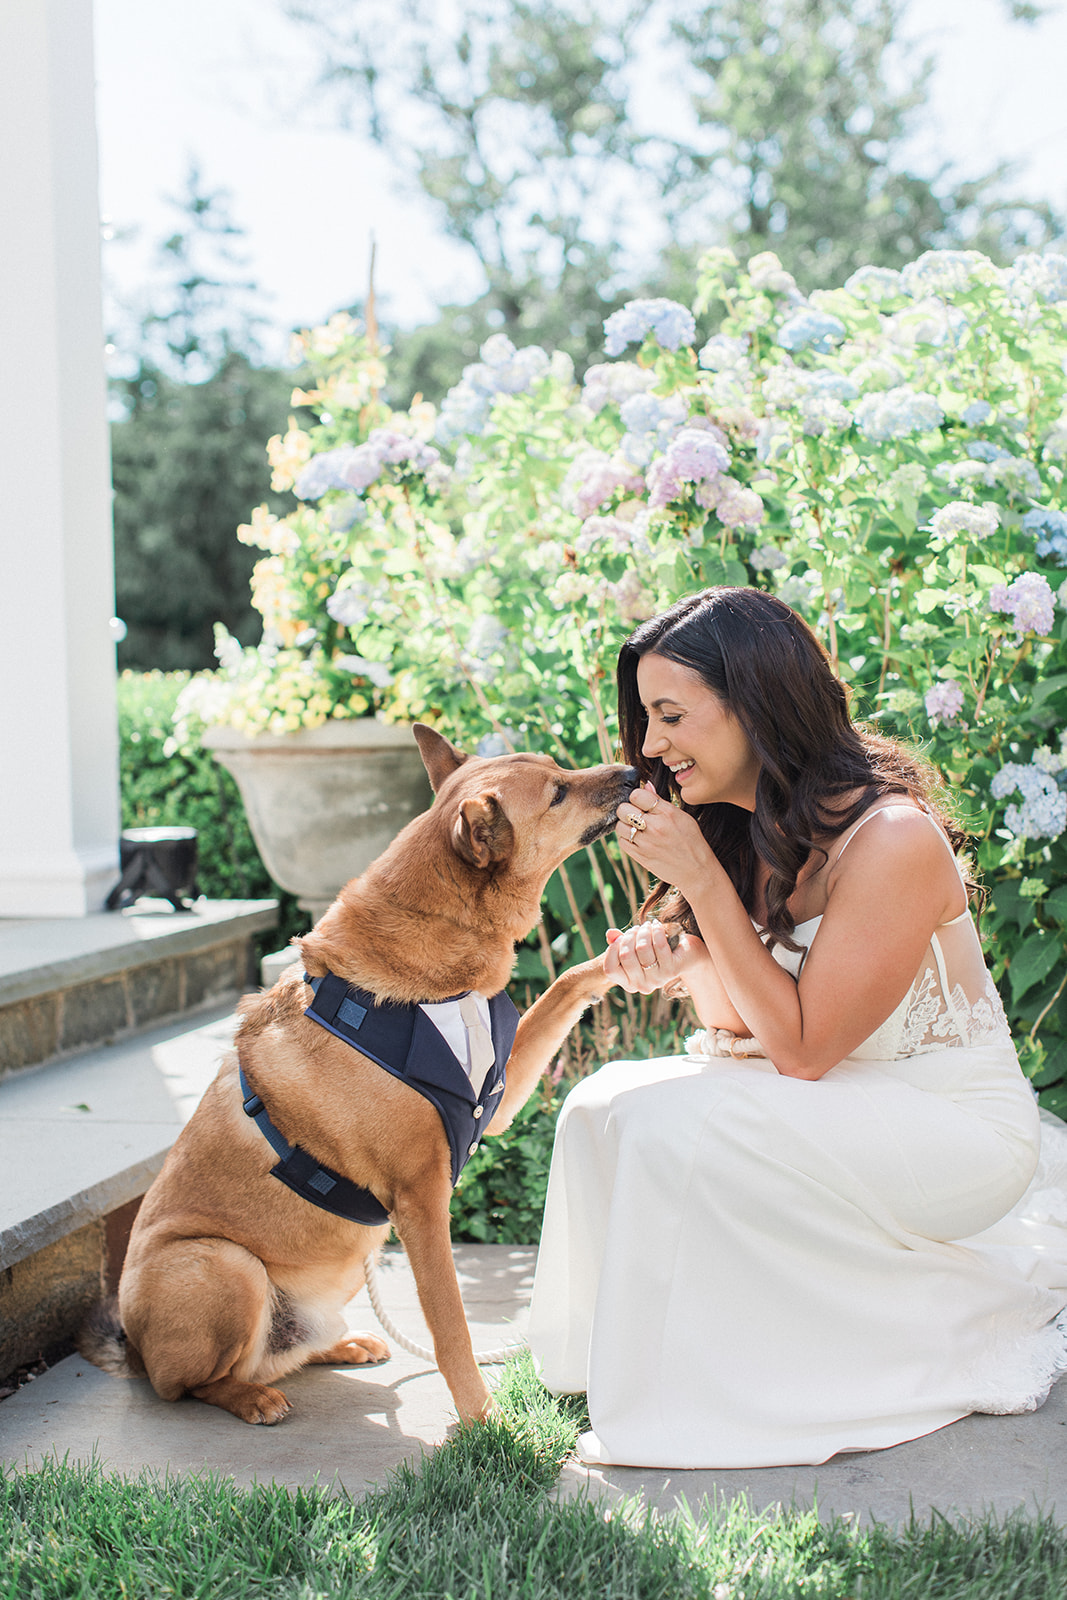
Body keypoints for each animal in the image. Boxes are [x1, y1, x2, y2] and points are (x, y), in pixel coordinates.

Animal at [83, 726, 639, 1427]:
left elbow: (567, 982)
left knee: (281, 1351)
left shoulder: (499, 1097)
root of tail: (131, 1346)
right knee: (190, 1385)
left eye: (557, 767)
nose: (631, 772)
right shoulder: (421, 1201)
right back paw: (251, 1399)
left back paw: (340, 1345)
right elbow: (451, 1327)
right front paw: (485, 1422)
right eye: (558, 791)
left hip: (338, 1269)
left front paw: (644, 944)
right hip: (226, 1264)